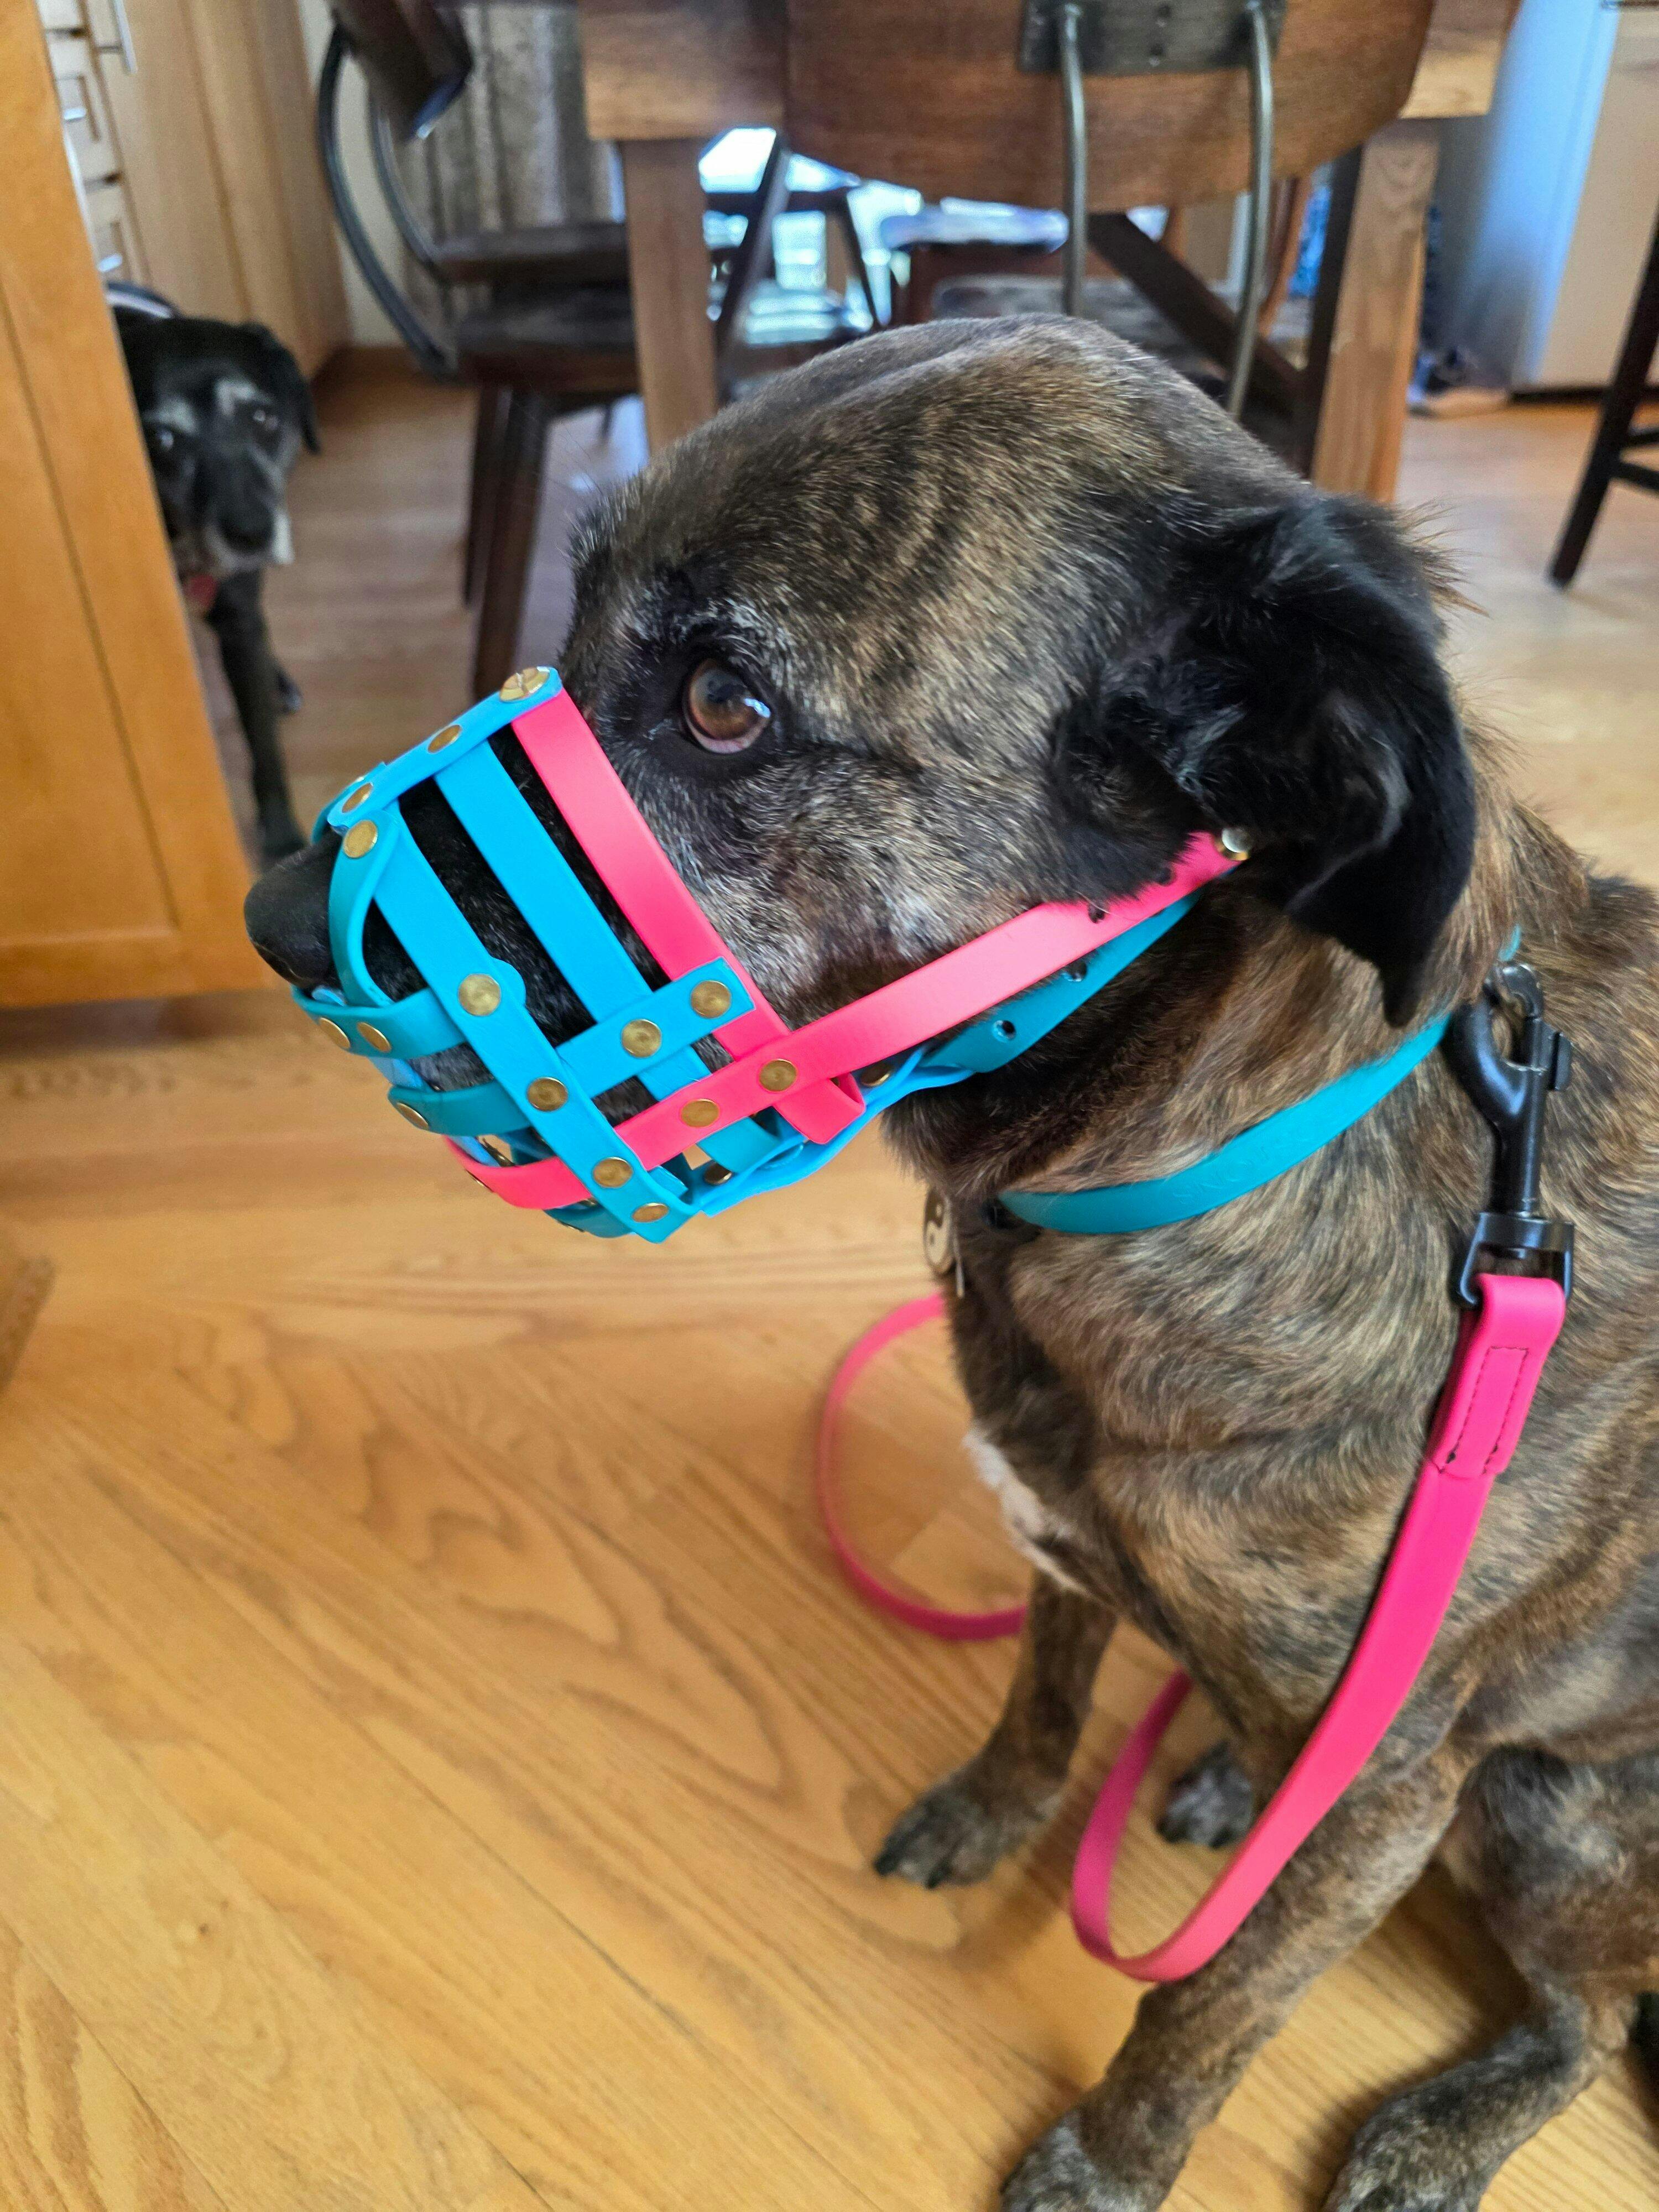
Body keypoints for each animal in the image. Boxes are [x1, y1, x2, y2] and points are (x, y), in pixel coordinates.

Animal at [116, 295, 318, 861]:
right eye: (161, 439)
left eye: (262, 416)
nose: (253, 533)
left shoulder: (238, 617)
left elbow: (264, 744)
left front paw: (282, 836)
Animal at [245, 317, 1659, 2211]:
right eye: (573, 607)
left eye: (725, 705)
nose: (266, 916)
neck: (1189, 1143)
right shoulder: (1059, 1547)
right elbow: (1041, 1707)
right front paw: (997, 1816)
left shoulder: (1390, 1793)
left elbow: (1207, 1997)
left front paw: (1108, 2160)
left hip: (1544, 1816)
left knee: (1588, 2024)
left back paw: (1439, 2131)